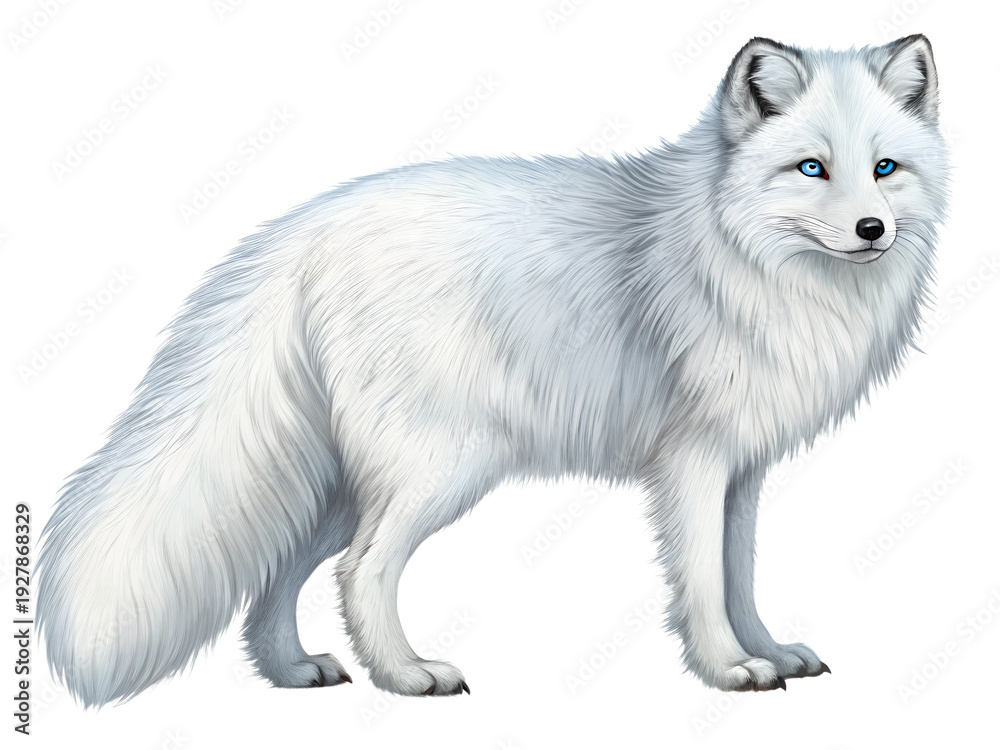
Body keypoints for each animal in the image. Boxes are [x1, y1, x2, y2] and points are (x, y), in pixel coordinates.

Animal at [37, 34, 948, 706]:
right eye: (811, 168)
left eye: (885, 168)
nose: (871, 229)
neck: (750, 262)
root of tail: (298, 233)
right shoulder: (692, 464)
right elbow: (700, 581)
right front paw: (727, 669)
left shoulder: (744, 471)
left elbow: (741, 575)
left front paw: (768, 650)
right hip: (442, 468)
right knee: (360, 569)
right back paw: (407, 676)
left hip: (340, 487)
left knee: (285, 569)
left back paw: (296, 672)